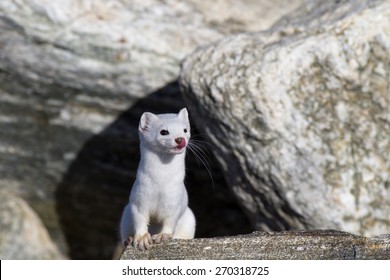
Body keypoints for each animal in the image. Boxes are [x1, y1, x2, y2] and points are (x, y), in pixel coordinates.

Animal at [119, 106, 195, 249]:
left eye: (185, 130)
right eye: (164, 131)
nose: (180, 139)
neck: (161, 182)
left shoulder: (174, 200)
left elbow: (170, 220)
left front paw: (162, 236)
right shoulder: (139, 197)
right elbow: (140, 218)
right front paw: (142, 239)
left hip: (189, 218)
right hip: (126, 214)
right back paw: (128, 239)